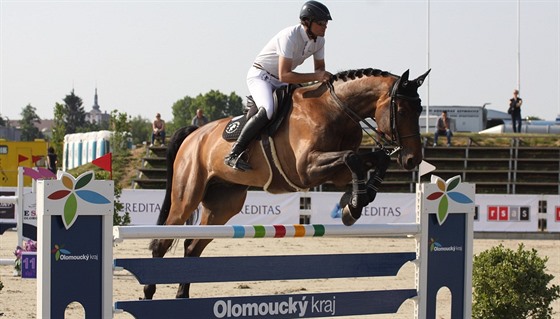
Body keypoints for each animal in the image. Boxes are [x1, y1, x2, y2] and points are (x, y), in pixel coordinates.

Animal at [143, 67, 428, 300]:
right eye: (402, 110)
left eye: (420, 111)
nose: (413, 158)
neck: (335, 109)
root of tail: (193, 134)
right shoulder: (307, 169)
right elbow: (353, 157)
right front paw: (354, 205)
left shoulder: (334, 173)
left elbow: (371, 159)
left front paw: (355, 202)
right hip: (186, 198)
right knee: (162, 242)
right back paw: (148, 293)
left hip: (223, 205)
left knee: (192, 247)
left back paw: (182, 296)